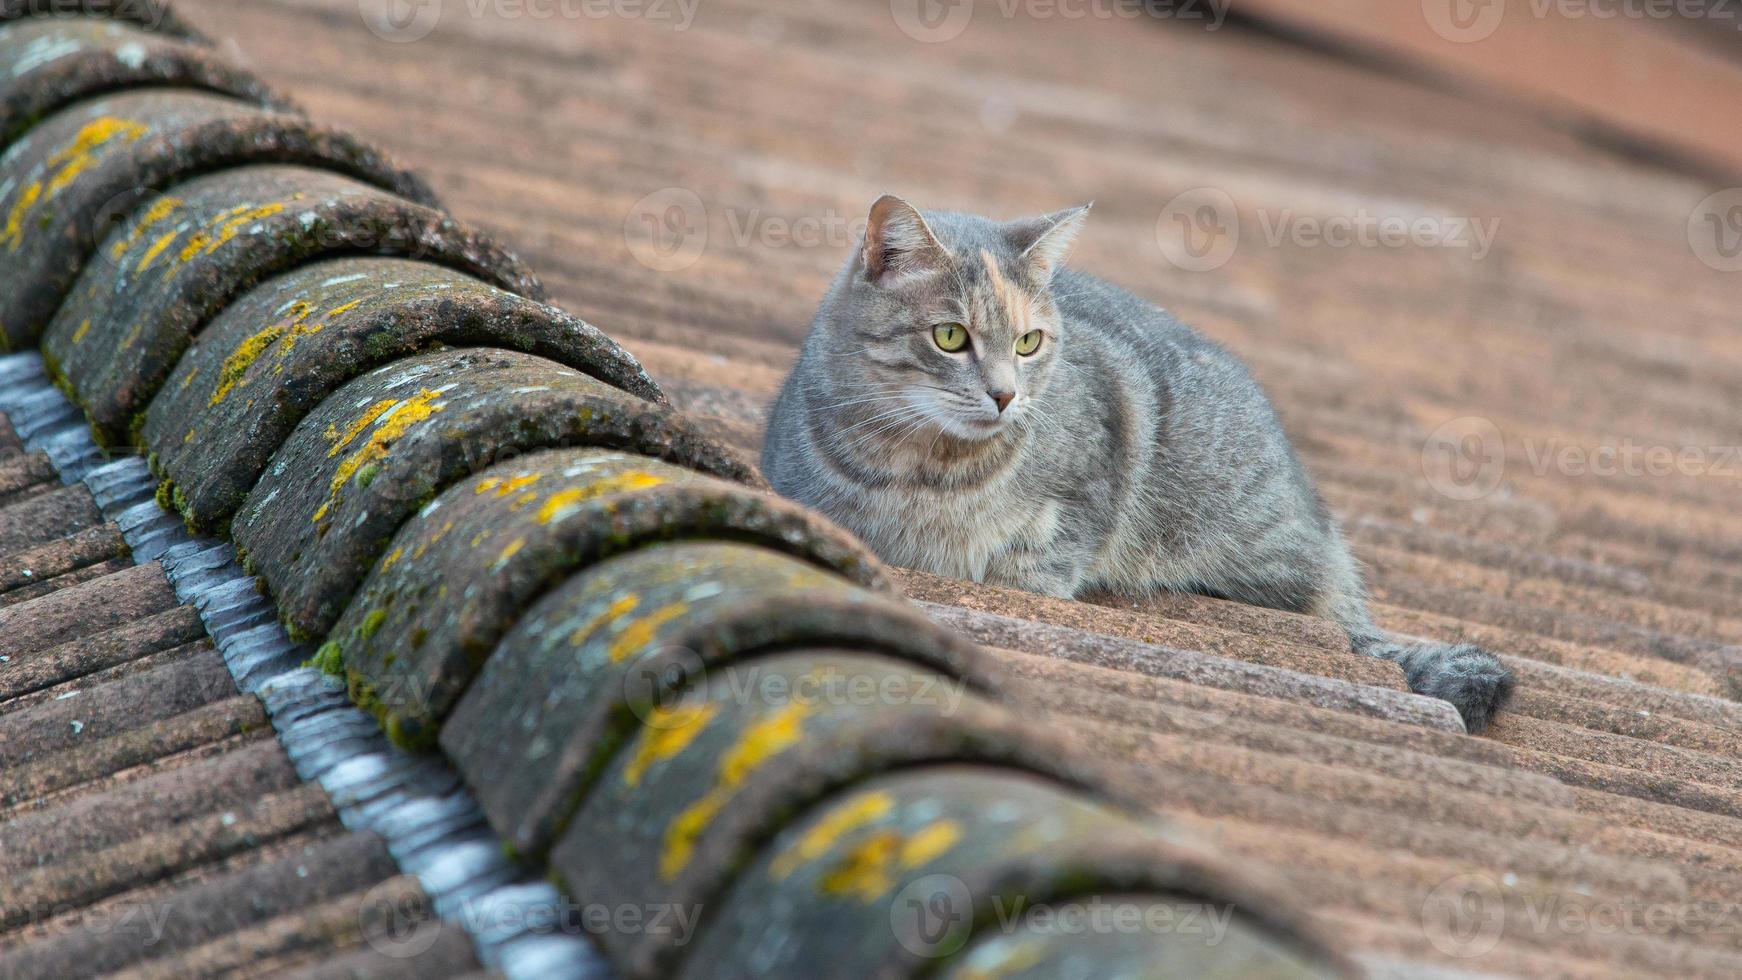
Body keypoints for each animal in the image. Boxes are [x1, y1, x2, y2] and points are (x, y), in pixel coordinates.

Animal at [762, 195, 1512, 731]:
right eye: (950, 336)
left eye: (1030, 343)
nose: (1006, 395)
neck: (927, 468)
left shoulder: (1093, 478)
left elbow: (1041, 558)